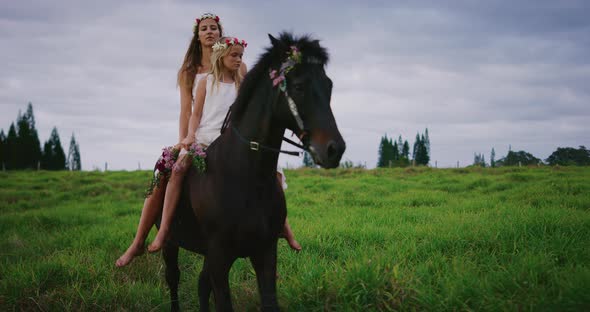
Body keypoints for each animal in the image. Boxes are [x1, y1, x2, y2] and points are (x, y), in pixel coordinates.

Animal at [160, 33, 350, 310]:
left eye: (329, 85)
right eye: (299, 86)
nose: (335, 149)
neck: (247, 176)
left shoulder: (265, 253)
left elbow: (268, 301)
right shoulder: (219, 258)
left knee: (201, 284)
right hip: (170, 243)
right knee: (173, 280)